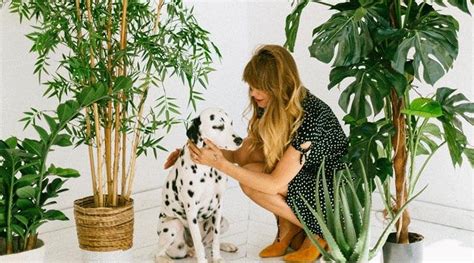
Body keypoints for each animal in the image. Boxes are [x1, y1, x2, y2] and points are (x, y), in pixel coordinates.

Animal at [156, 108, 243, 262]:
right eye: (218, 126)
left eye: (231, 124)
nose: (240, 140)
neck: (208, 169)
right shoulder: (191, 209)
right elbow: (198, 242)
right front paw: (203, 260)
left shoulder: (219, 206)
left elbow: (215, 238)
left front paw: (217, 257)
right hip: (173, 226)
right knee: (158, 253)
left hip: (224, 221)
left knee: (208, 243)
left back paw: (225, 245)